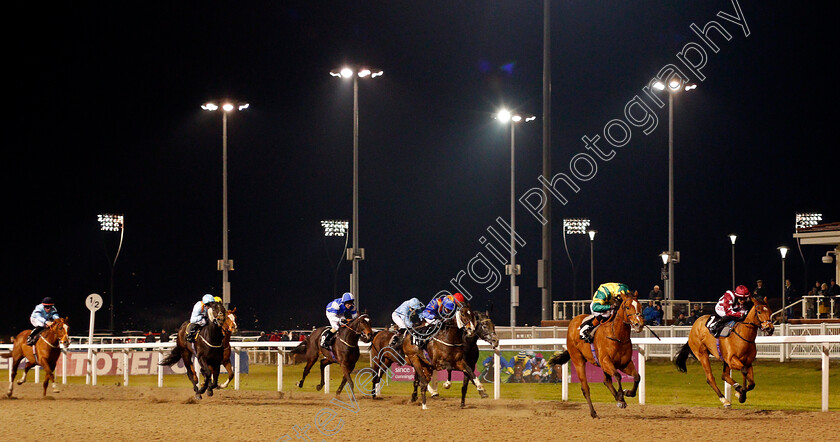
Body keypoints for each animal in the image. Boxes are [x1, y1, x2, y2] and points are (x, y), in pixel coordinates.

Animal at [548, 290, 648, 418]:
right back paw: (593, 412)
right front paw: (621, 398)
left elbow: (637, 377)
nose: (638, 324)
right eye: (627, 307)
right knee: (585, 388)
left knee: (606, 381)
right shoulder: (606, 361)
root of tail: (573, 322)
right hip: (578, 360)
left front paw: (627, 393)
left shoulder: (624, 363)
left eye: (640, 306)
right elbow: (618, 376)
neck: (617, 336)